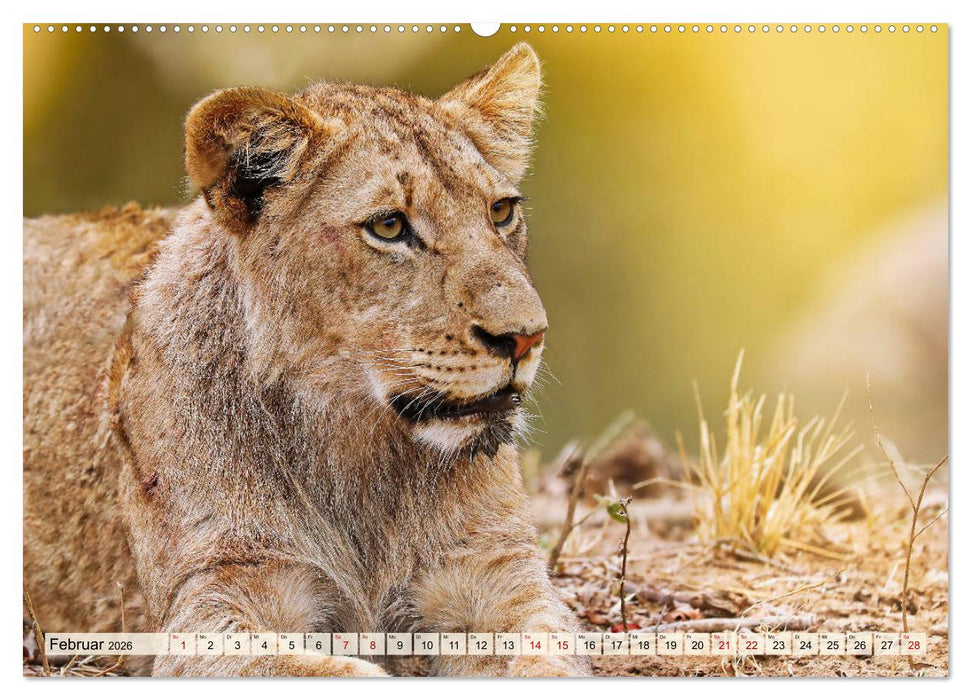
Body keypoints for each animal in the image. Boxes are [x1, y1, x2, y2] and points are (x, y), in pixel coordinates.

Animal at [23, 43, 589, 677]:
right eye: (389, 226)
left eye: (500, 211)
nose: (526, 337)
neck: (358, 446)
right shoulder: (212, 599)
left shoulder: (498, 575)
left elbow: (550, 661)